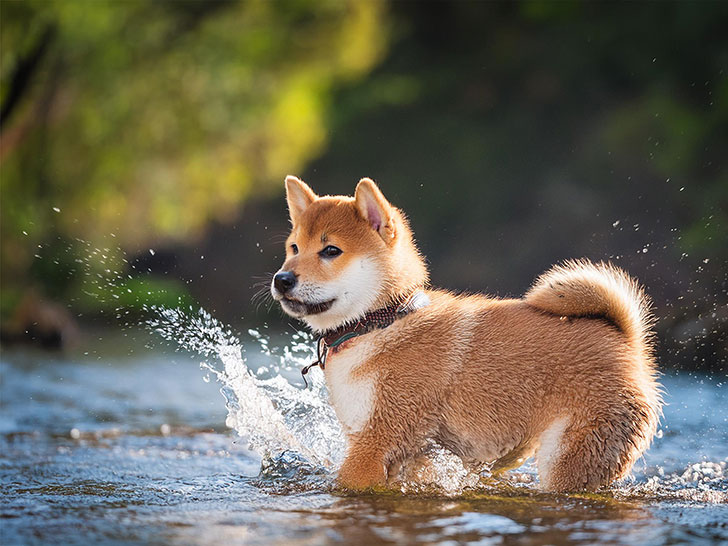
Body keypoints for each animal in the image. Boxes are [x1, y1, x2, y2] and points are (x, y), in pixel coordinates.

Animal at [270, 176, 664, 490]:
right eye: (294, 248)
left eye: (331, 250)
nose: (281, 279)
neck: (382, 323)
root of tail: (628, 343)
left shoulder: (377, 441)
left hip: (571, 456)